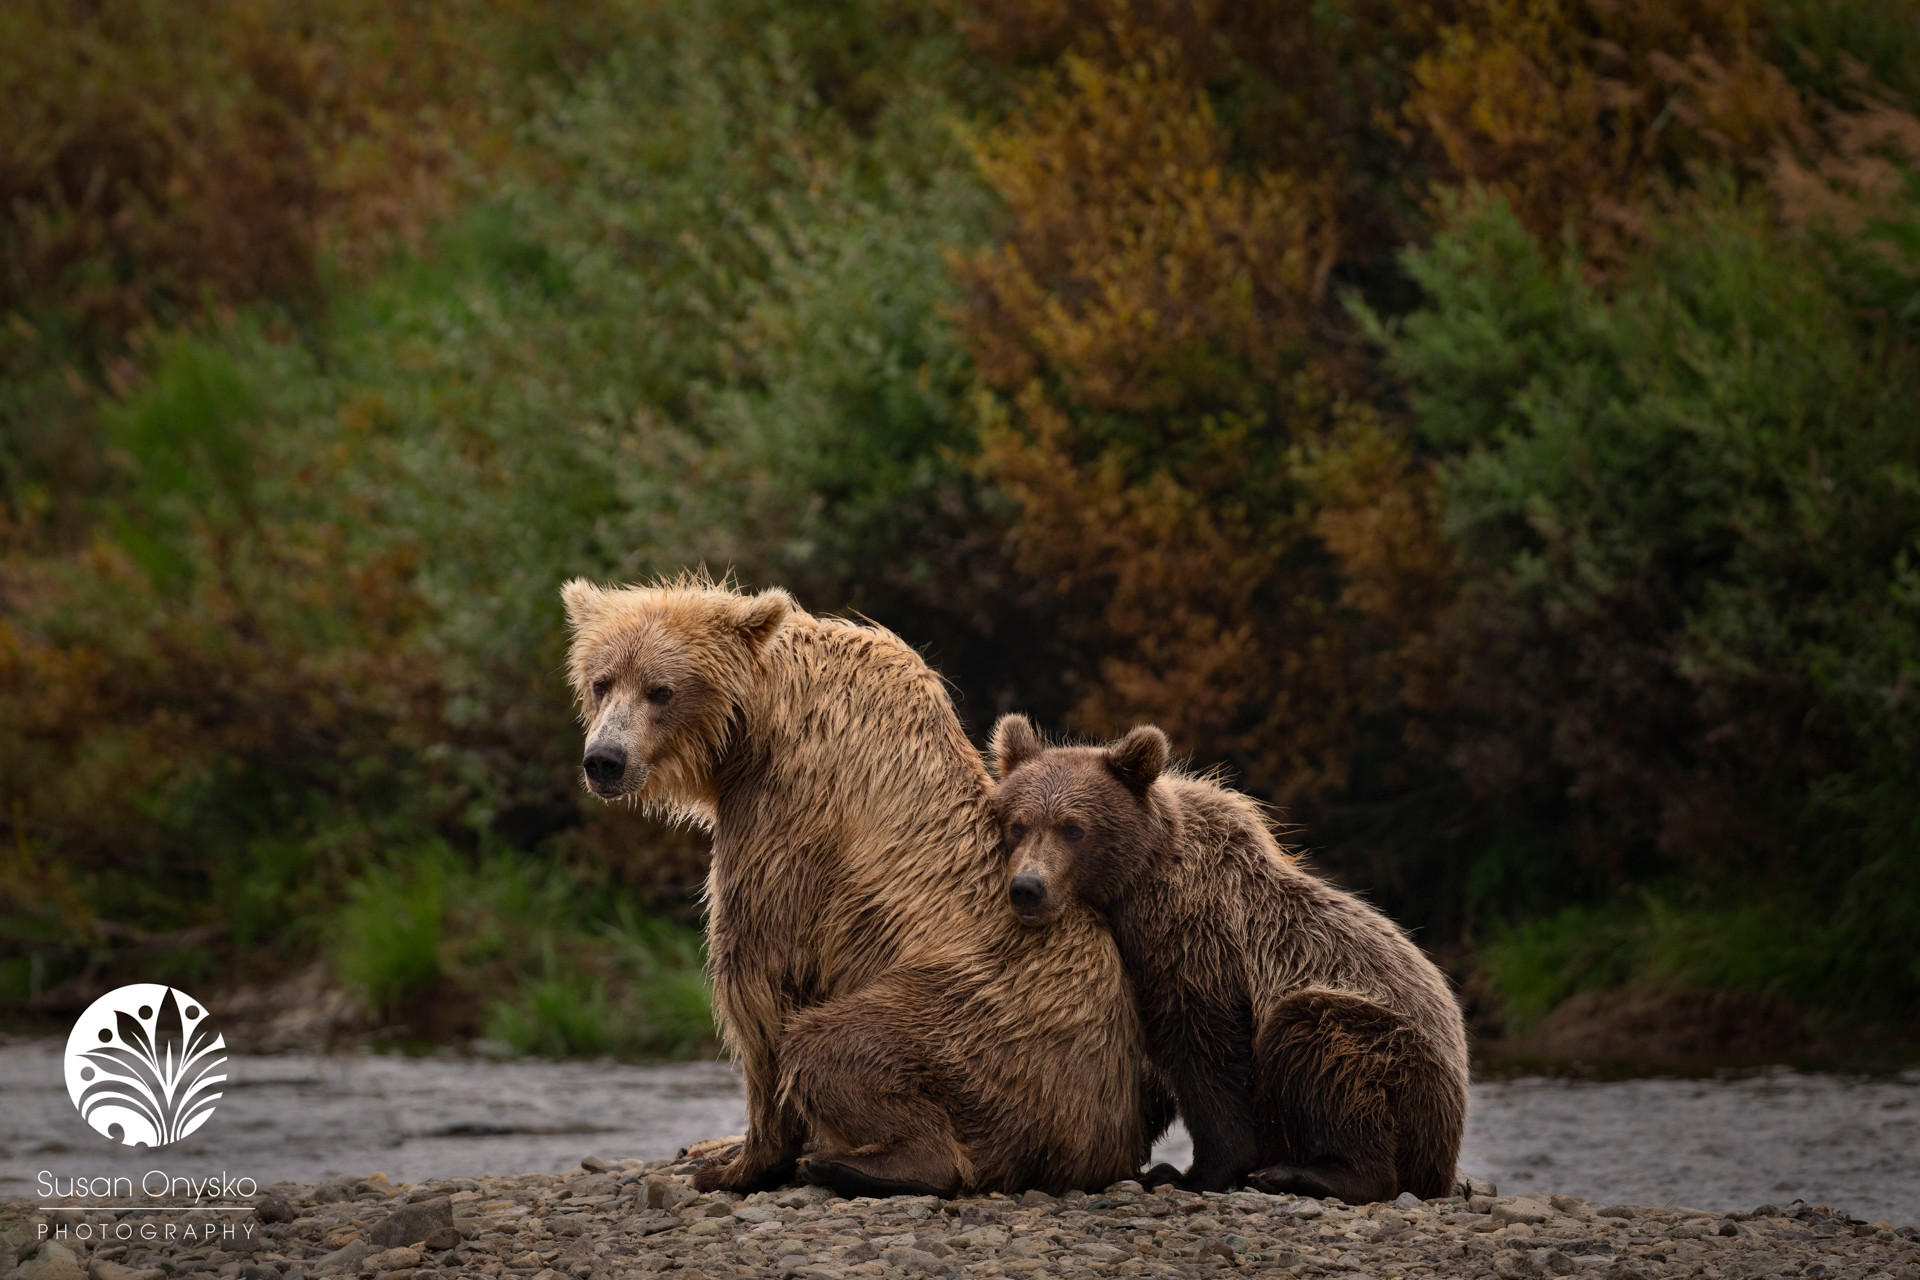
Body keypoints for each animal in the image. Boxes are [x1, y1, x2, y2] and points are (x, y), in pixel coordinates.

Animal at [560, 579, 1159, 1205]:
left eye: (661, 689)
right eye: (601, 681)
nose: (604, 760)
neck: (759, 727)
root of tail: (1110, 1141)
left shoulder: (787, 814)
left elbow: (760, 975)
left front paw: (741, 1163)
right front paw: (717, 1150)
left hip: (986, 1024)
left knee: (838, 1044)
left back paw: (855, 1164)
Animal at [990, 717, 1466, 1205]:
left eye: (1073, 828)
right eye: (1017, 824)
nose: (1028, 887)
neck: (1135, 889)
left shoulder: (1199, 951)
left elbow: (1210, 1063)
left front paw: (1189, 1173)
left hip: (1401, 1064)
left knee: (1320, 1040)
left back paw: (1304, 1173)